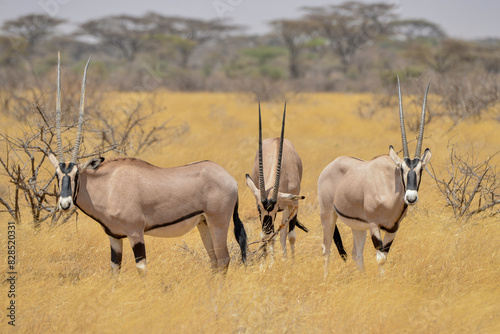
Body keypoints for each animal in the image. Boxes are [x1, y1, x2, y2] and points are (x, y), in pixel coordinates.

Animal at [48, 54, 248, 274]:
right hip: (203, 223)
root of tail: (230, 179)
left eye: (76, 174)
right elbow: (115, 270)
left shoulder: (135, 232)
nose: (65, 204)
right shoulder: (114, 237)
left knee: (223, 259)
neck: (108, 185)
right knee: (214, 261)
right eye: (57, 175)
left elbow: (141, 268)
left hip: (218, 221)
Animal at [245, 103, 306, 258]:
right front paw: (269, 260)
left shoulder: (293, 204)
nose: (266, 230)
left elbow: (290, 236)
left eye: (276, 208)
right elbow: (270, 238)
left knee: (283, 233)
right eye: (258, 208)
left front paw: (291, 261)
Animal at [318, 78, 432, 272]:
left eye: (420, 170)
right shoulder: (374, 225)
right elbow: (379, 259)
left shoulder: (393, 228)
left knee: (356, 254)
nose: (411, 197)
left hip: (357, 226)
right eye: (402, 169)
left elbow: (384, 257)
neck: (391, 188)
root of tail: (330, 166)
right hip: (328, 215)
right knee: (327, 250)